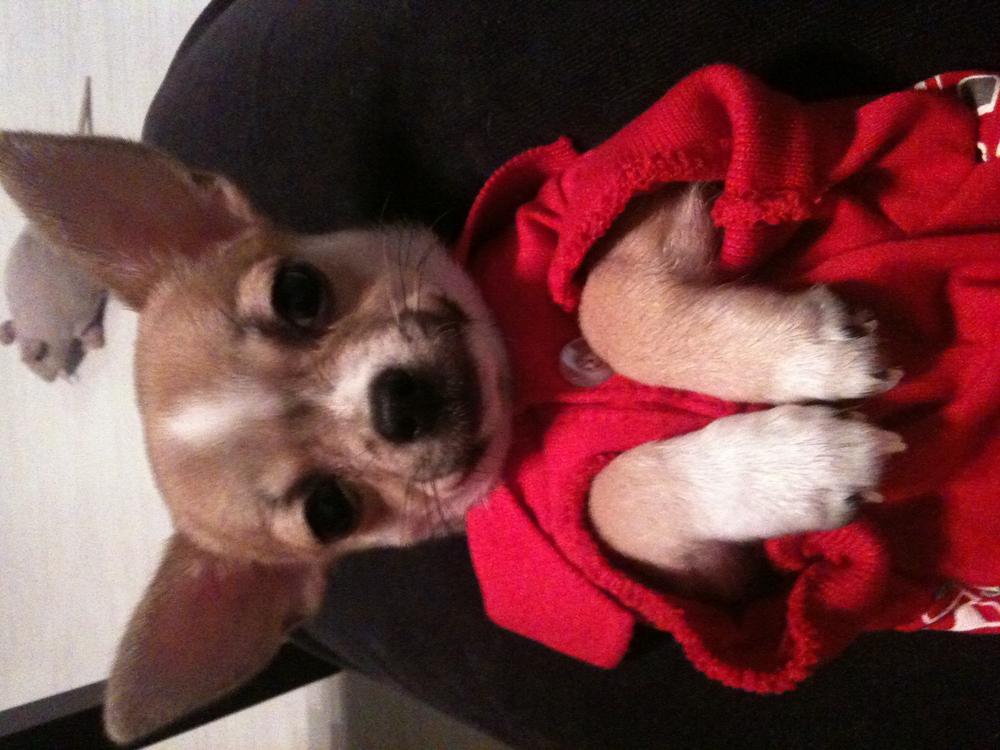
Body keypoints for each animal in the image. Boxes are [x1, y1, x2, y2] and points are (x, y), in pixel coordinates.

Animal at [0, 132, 903, 743]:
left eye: (299, 291)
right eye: (328, 511)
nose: (397, 404)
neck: (521, 378)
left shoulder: (623, 192)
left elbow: (603, 300)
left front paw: (805, 357)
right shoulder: (699, 582)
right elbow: (613, 493)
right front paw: (794, 465)